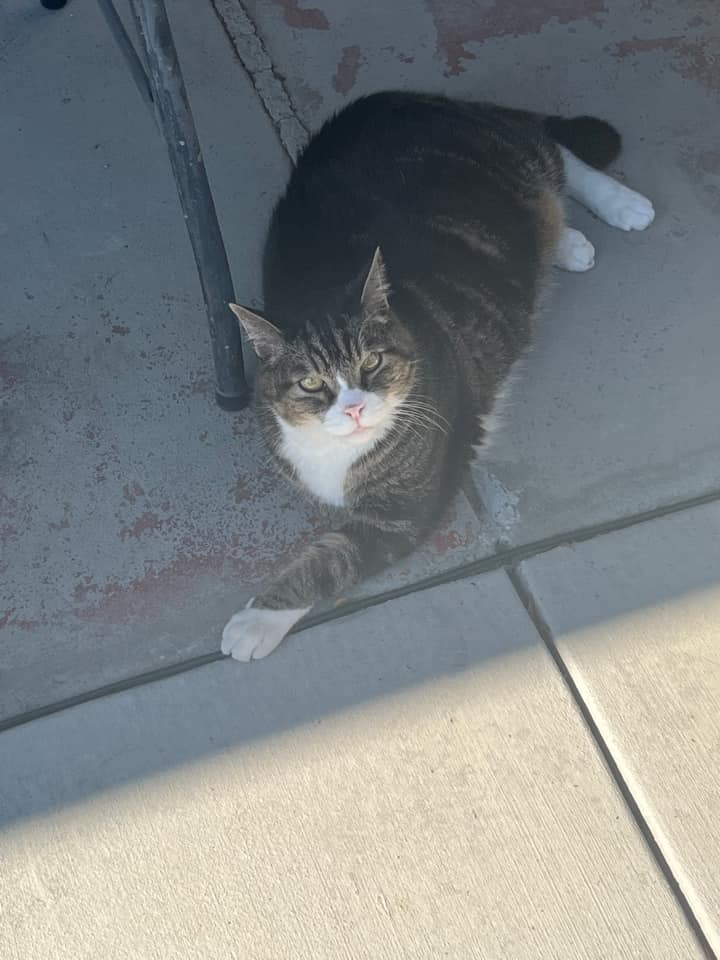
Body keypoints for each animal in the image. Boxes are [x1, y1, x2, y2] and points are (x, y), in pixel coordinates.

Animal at [222, 90, 656, 660]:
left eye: (372, 362)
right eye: (311, 383)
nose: (354, 407)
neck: (335, 453)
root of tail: (402, 100)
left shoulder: (403, 513)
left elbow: (327, 562)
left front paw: (254, 622)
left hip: (515, 160)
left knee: (553, 150)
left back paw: (620, 205)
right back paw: (569, 242)